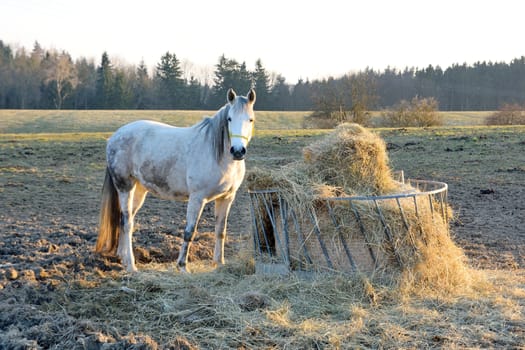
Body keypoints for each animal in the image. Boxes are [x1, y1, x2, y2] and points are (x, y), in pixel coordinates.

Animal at [97, 88, 256, 274]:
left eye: (250, 119)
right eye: (229, 119)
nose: (237, 151)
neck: (218, 156)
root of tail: (114, 137)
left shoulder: (227, 198)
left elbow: (220, 231)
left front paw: (219, 263)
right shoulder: (197, 198)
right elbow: (189, 232)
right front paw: (182, 266)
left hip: (139, 190)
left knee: (124, 221)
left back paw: (122, 258)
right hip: (124, 187)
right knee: (127, 222)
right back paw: (131, 265)